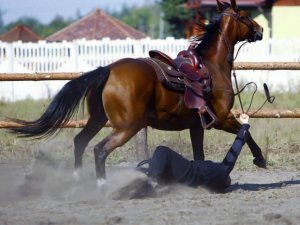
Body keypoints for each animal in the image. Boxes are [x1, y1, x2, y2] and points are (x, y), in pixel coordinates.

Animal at [7, 0, 264, 185]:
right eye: (244, 15)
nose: (260, 29)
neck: (210, 66)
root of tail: (108, 70)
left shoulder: (196, 126)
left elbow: (199, 153)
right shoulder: (222, 118)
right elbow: (246, 132)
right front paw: (260, 159)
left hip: (98, 119)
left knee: (80, 141)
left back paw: (78, 178)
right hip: (127, 126)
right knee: (99, 149)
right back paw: (102, 184)